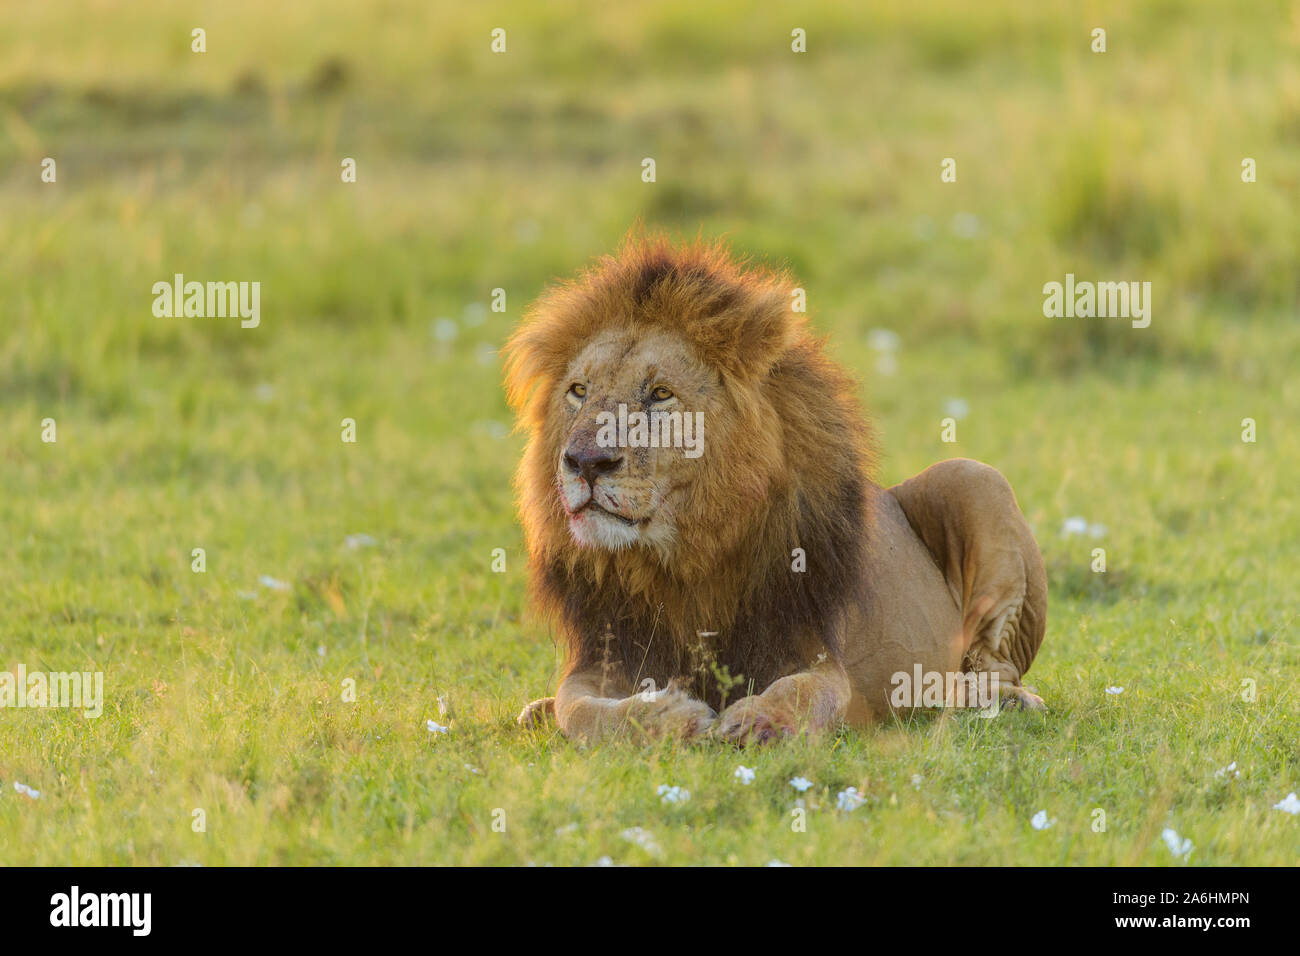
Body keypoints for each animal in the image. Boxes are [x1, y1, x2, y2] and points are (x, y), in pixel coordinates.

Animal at [505, 235, 1046, 745]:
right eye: (579, 391)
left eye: (660, 394)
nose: (584, 463)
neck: (684, 556)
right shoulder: (606, 654)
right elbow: (580, 710)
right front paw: (668, 717)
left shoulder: (812, 648)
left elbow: (804, 689)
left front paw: (759, 721)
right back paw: (534, 710)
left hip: (974, 477)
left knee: (995, 667)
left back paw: (983, 696)